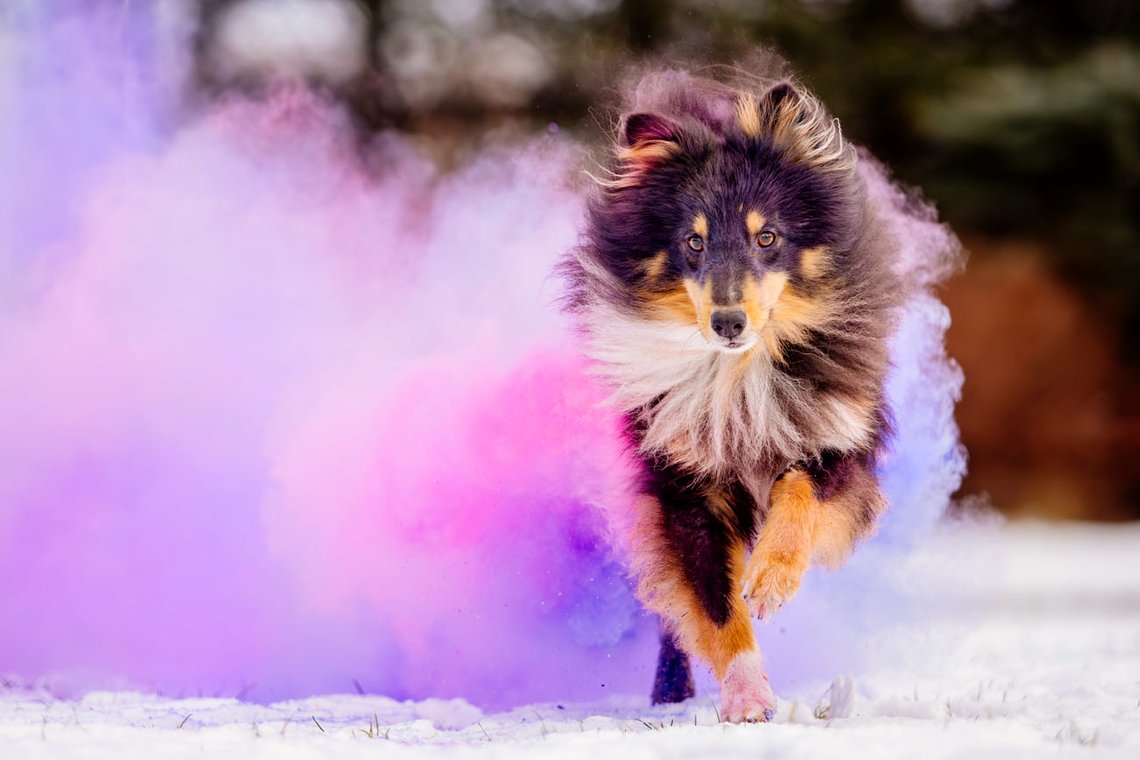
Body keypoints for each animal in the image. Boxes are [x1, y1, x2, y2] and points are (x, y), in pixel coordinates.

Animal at [558, 66, 898, 724]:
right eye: (693, 243)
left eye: (767, 237)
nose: (728, 322)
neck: (736, 378)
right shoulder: (685, 488)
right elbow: (714, 604)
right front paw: (747, 700)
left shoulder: (840, 442)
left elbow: (799, 491)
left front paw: (771, 580)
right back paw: (670, 689)